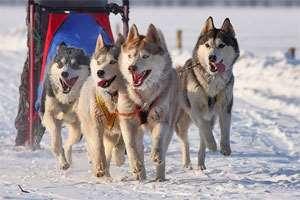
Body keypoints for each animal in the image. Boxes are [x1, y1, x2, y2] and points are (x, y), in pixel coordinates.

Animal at [77, 34, 125, 178]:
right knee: (96, 147)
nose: (100, 72)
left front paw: (119, 157)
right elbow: (98, 147)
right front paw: (99, 167)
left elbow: (121, 142)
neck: (112, 96)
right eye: (99, 61)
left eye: (113, 62)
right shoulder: (96, 125)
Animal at [116, 23, 178, 181]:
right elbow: (130, 146)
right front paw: (135, 165)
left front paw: (156, 154)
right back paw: (140, 174)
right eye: (130, 56)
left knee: (163, 149)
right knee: (138, 148)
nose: (131, 67)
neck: (143, 96)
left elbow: (158, 139)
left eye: (145, 56)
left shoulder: (161, 119)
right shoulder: (127, 121)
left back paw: (159, 176)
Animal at [176, 17, 239, 170]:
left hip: (211, 119)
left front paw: (225, 148)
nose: (212, 57)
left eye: (221, 45)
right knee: (186, 141)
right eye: (207, 45)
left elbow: (225, 129)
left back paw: (200, 163)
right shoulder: (195, 110)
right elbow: (204, 126)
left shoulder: (225, 107)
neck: (212, 80)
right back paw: (187, 162)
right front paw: (213, 145)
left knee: (202, 141)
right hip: (182, 121)